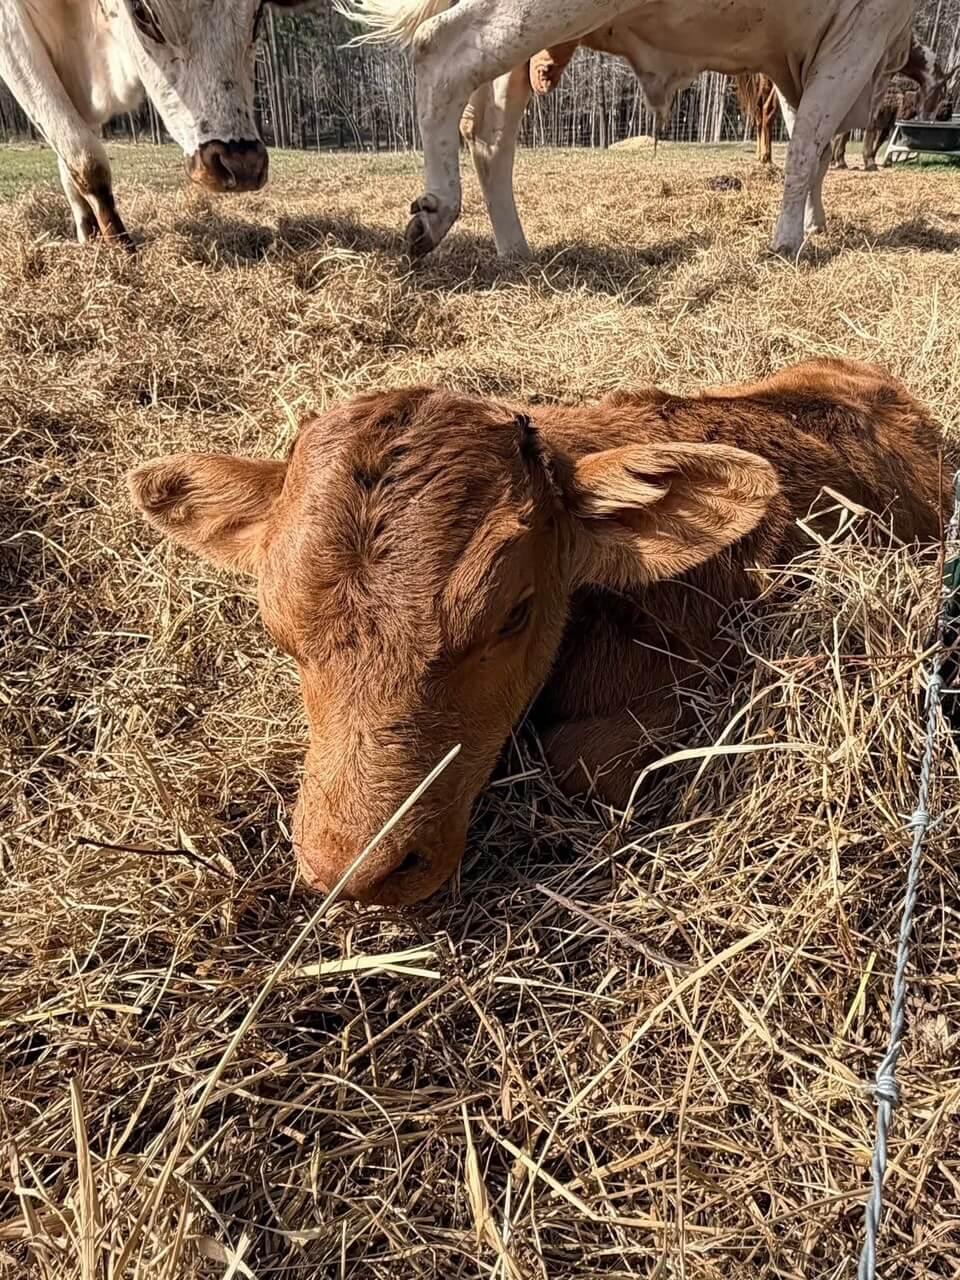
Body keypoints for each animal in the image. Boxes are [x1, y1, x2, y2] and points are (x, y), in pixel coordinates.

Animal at [0, 1, 307, 247]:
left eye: (258, 13)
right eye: (142, 13)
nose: (242, 164)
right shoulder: (12, 31)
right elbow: (87, 160)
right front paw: (121, 253)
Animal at [340, 0, 915, 260]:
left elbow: (809, 141)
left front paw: (815, 223)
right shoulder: (860, 32)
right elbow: (810, 139)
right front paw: (789, 240)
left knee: (490, 136)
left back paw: (515, 249)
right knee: (440, 48)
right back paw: (434, 213)